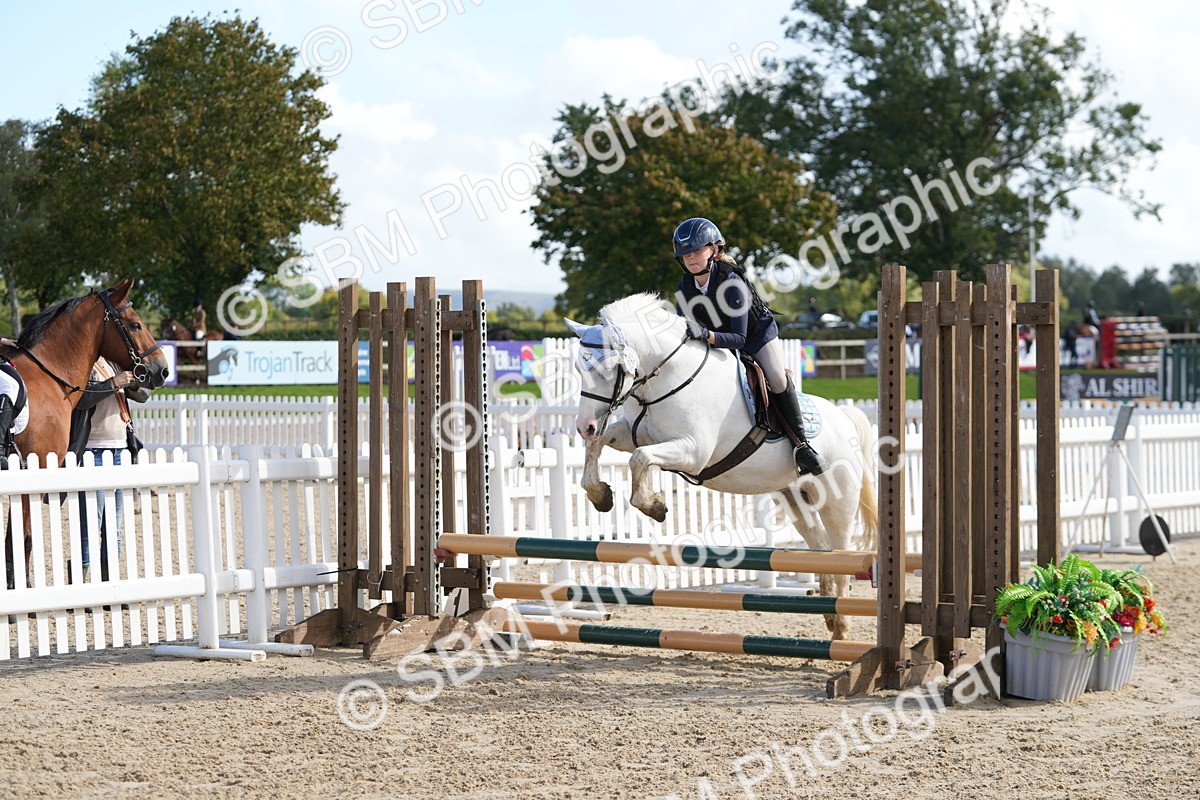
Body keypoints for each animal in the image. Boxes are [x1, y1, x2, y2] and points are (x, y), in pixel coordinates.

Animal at [565, 293, 878, 640]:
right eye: (579, 367)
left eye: (609, 369)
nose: (584, 426)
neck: (667, 378)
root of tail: (845, 418)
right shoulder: (633, 435)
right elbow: (600, 446)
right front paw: (600, 495)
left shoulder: (693, 451)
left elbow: (640, 459)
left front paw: (654, 506)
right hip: (796, 498)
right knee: (820, 549)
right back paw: (830, 616)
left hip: (838, 500)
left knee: (842, 555)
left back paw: (842, 629)